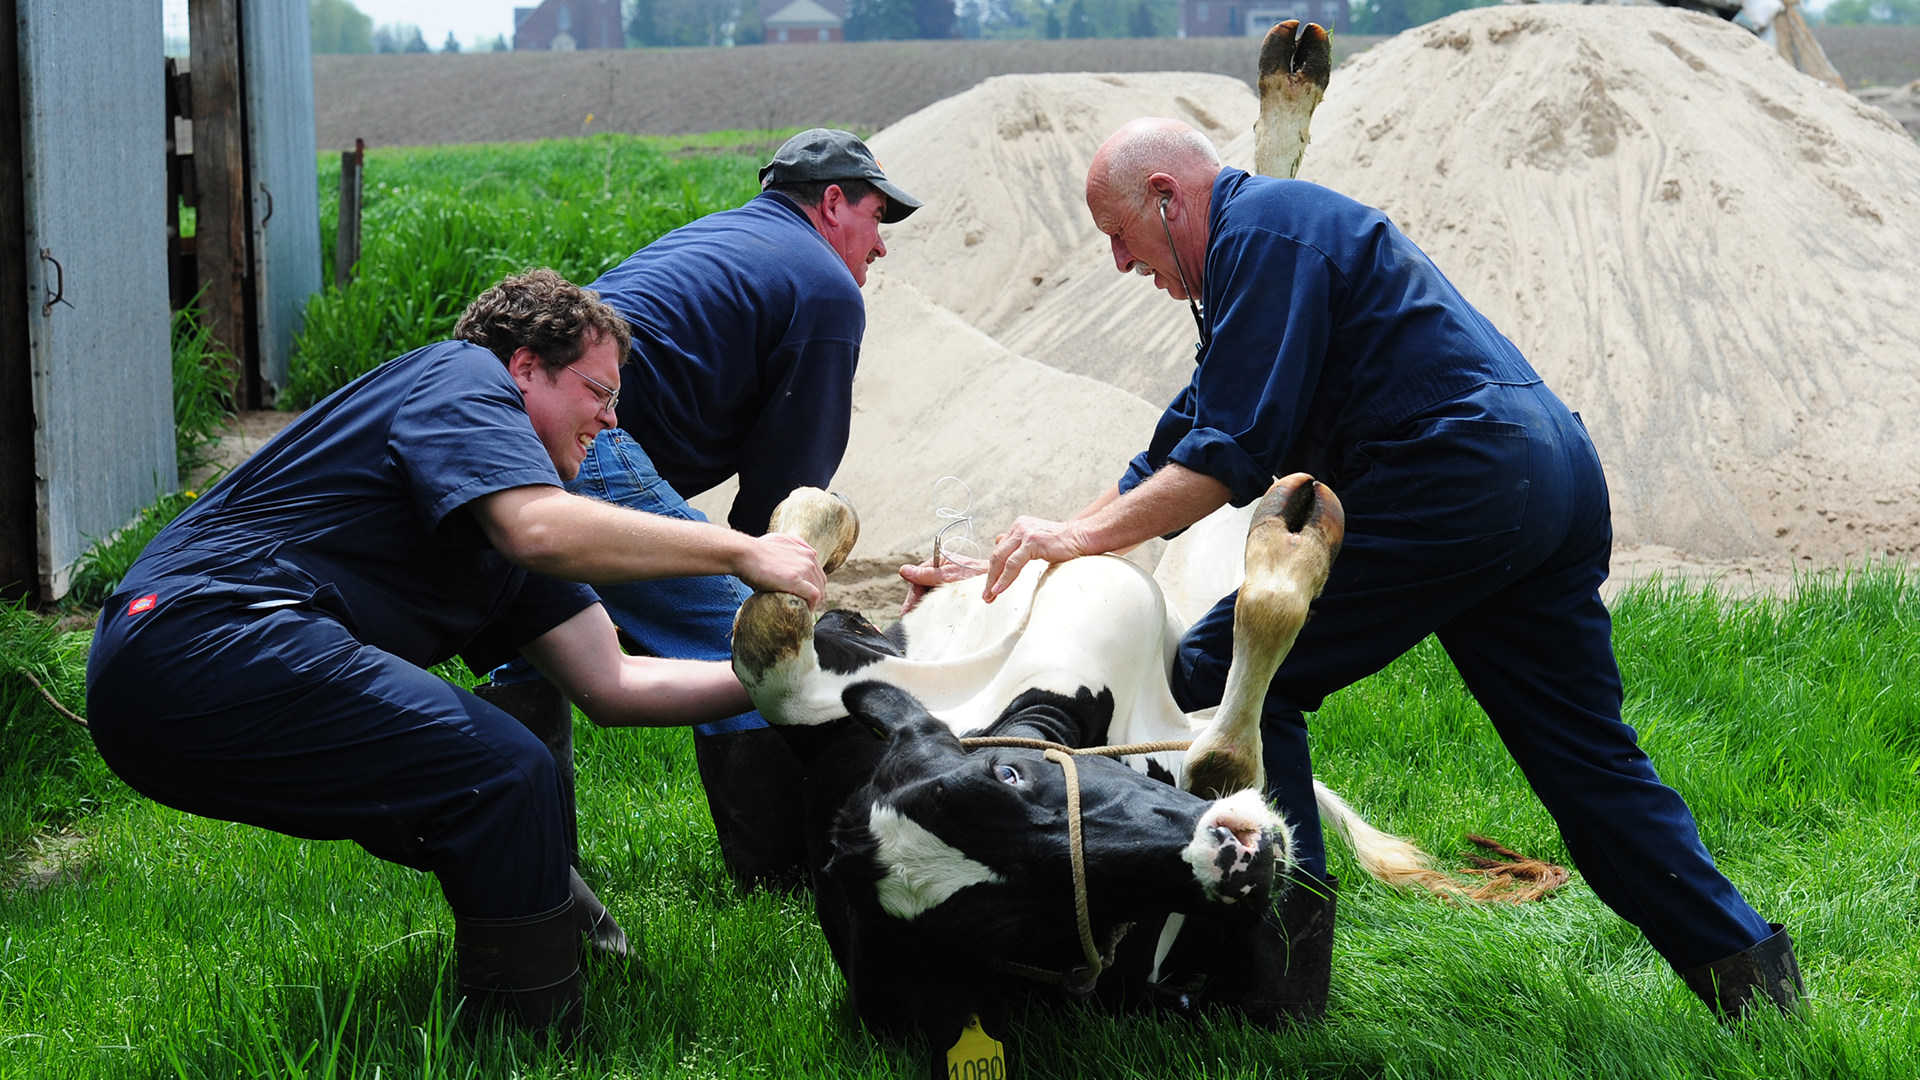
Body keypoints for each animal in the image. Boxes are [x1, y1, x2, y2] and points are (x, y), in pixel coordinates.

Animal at [729, 472, 1443, 1068]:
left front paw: (814, 523)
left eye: (1007, 776)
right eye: (1013, 927)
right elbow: (1229, 751)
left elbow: (765, 634)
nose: (1234, 855)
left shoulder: (824, 695)